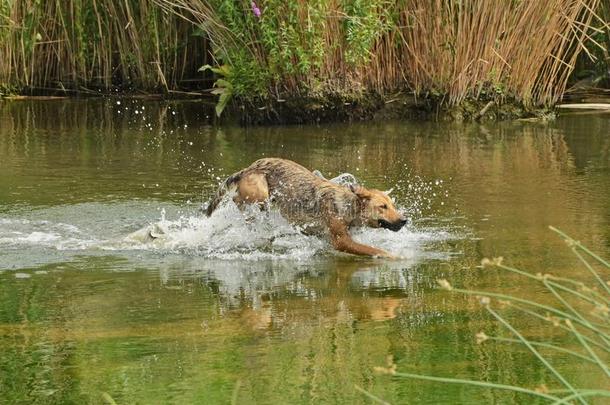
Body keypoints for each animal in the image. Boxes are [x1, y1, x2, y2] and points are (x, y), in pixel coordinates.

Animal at [205, 156, 408, 258]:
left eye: (392, 205)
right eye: (382, 206)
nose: (404, 220)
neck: (349, 206)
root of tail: (249, 167)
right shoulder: (341, 241)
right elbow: (377, 251)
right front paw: (396, 257)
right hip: (260, 192)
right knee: (240, 200)